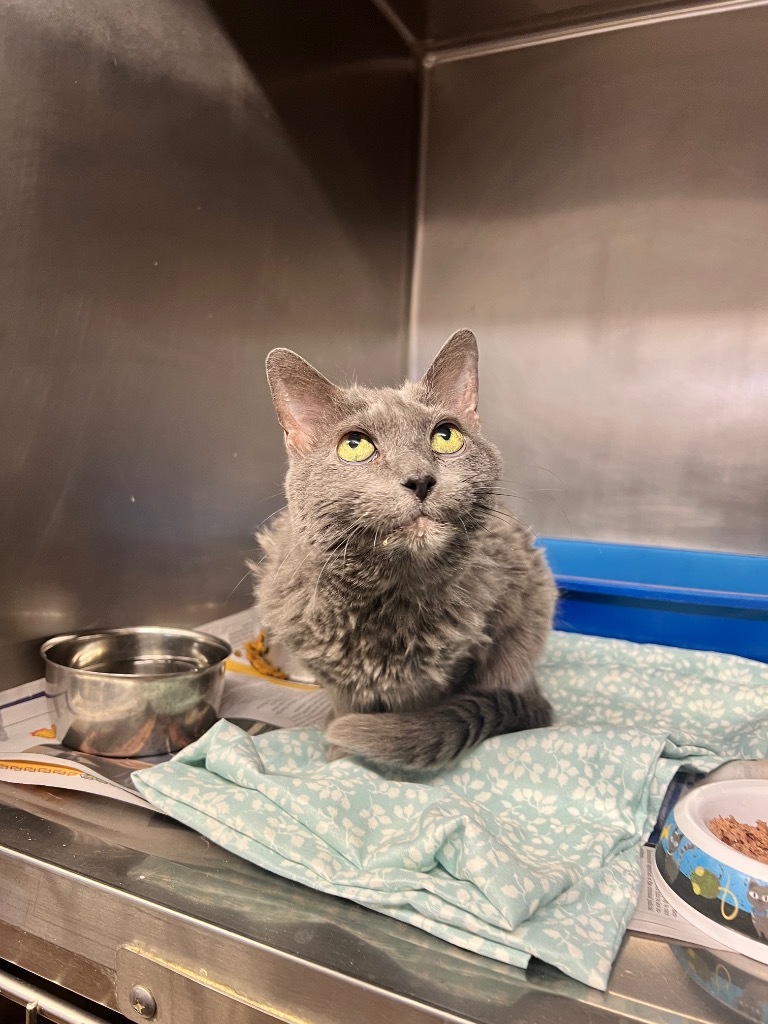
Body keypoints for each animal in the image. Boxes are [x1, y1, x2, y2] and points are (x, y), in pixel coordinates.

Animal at [252, 327, 561, 770]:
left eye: (446, 436)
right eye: (355, 445)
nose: (420, 479)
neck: (387, 595)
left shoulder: (447, 664)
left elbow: (415, 712)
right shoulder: (331, 670)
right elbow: (346, 707)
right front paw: (339, 758)